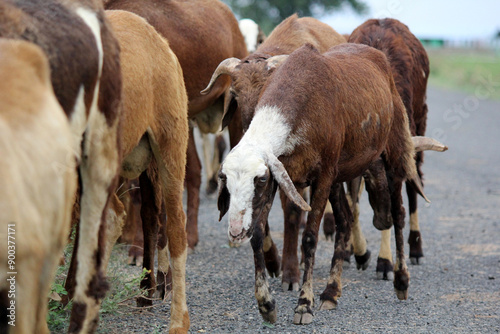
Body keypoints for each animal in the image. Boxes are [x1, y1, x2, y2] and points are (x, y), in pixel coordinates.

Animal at [201, 12, 346, 290]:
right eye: (235, 94)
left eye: (267, 91)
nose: (251, 128)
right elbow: (258, 213)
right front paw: (272, 261)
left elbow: (292, 212)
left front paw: (290, 272)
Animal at [217, 43, 444, 324]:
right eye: (225, 180)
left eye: (258, 179)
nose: (235, 231)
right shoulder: (281, 176)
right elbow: (258, 234)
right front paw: (266, 304)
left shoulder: (322, 176)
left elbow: (310, 238)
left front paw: (304, 304)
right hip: (340, 175)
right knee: (345, 220)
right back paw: (331, 292)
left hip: (394, 153)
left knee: (399, 214)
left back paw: (401, 280)